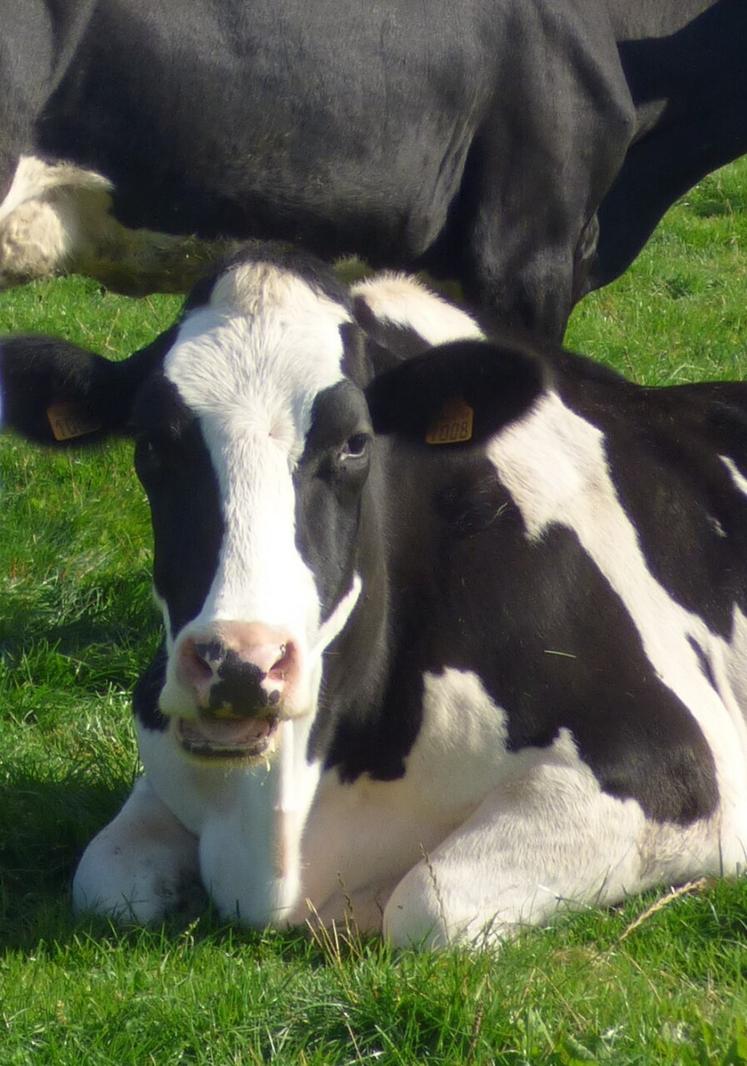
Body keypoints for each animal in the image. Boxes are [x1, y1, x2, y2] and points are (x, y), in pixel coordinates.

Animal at [1, 242, 747, 948]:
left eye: (356, 444)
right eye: (152, 444)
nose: (240, 664)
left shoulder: (675, 766)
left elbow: (423, 908)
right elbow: (105, 879)